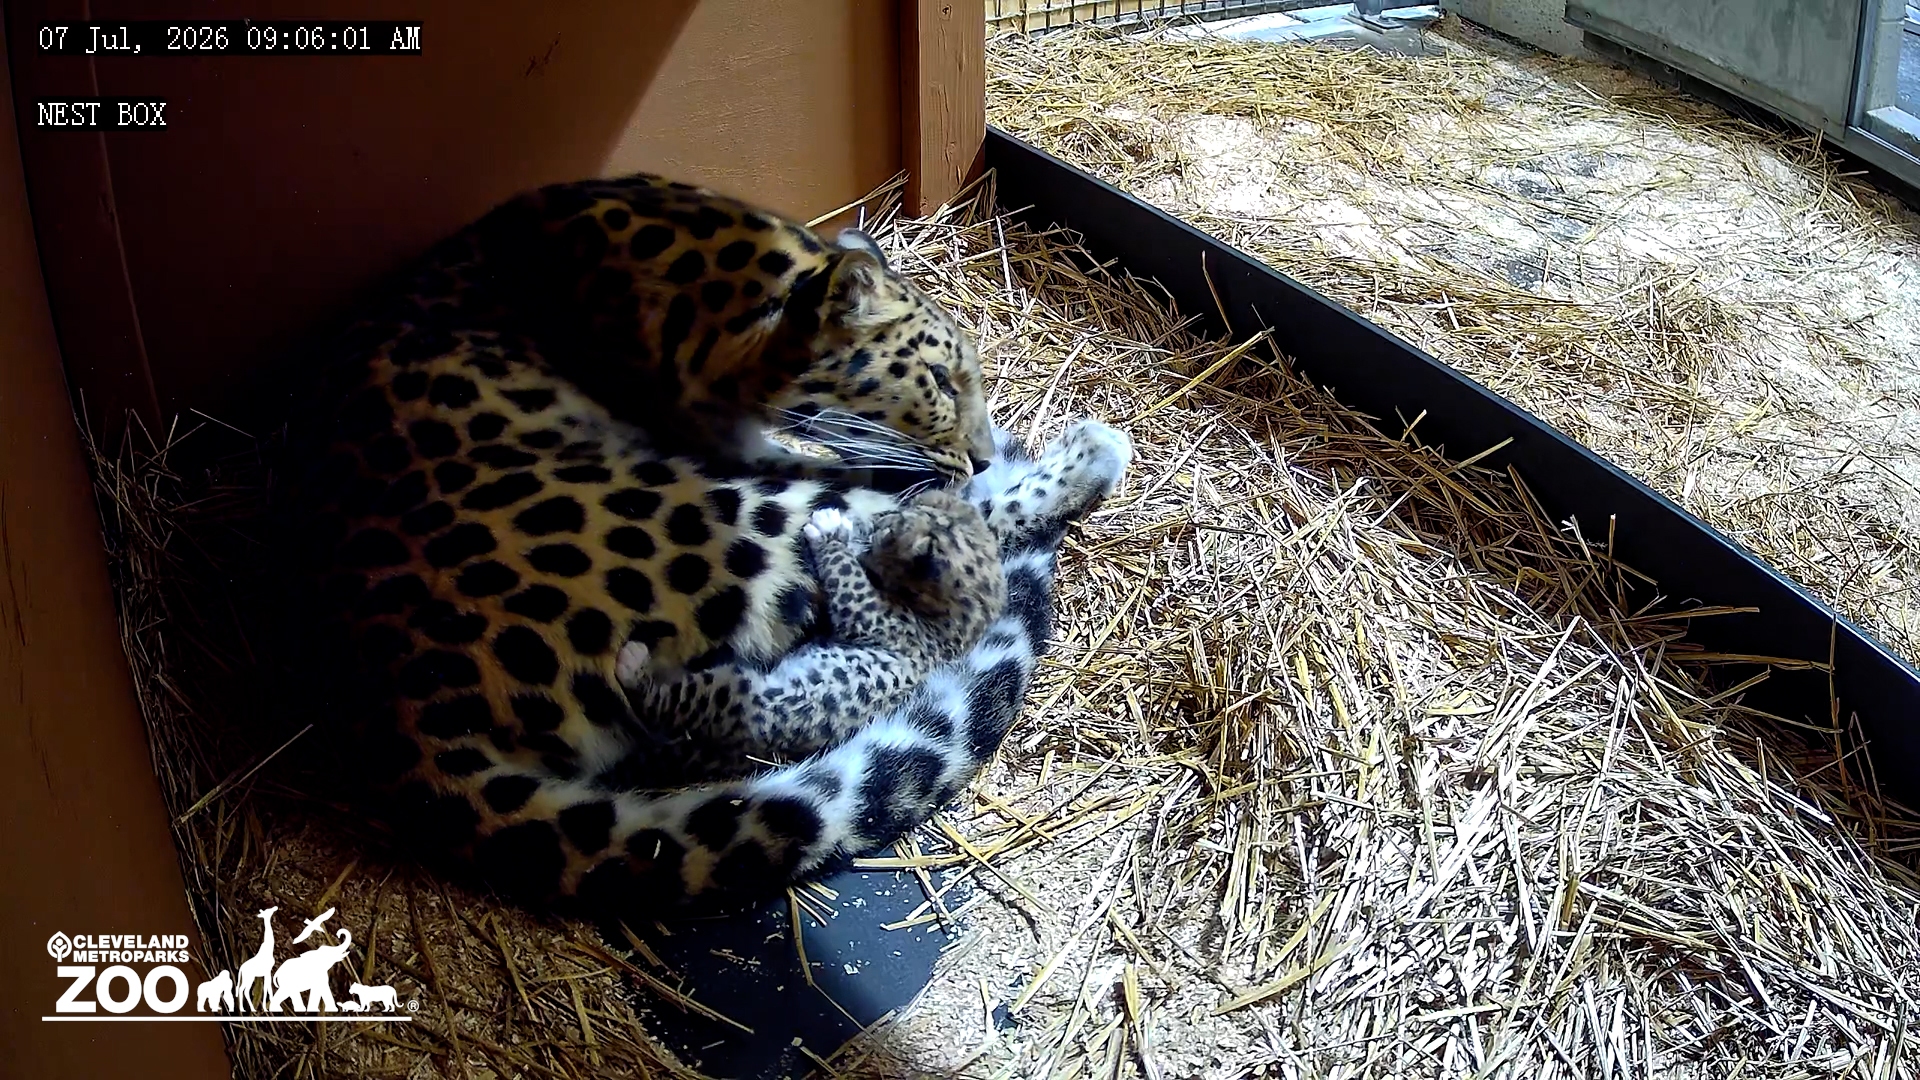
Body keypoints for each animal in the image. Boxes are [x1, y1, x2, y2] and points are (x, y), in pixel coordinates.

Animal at [612, 488, 1008, 784]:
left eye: (889, 528)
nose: (879, 520)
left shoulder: (872, 618)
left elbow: (848, 576)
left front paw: (831, 530)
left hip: (730, 695)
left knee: (663, 700)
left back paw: (632, 665)